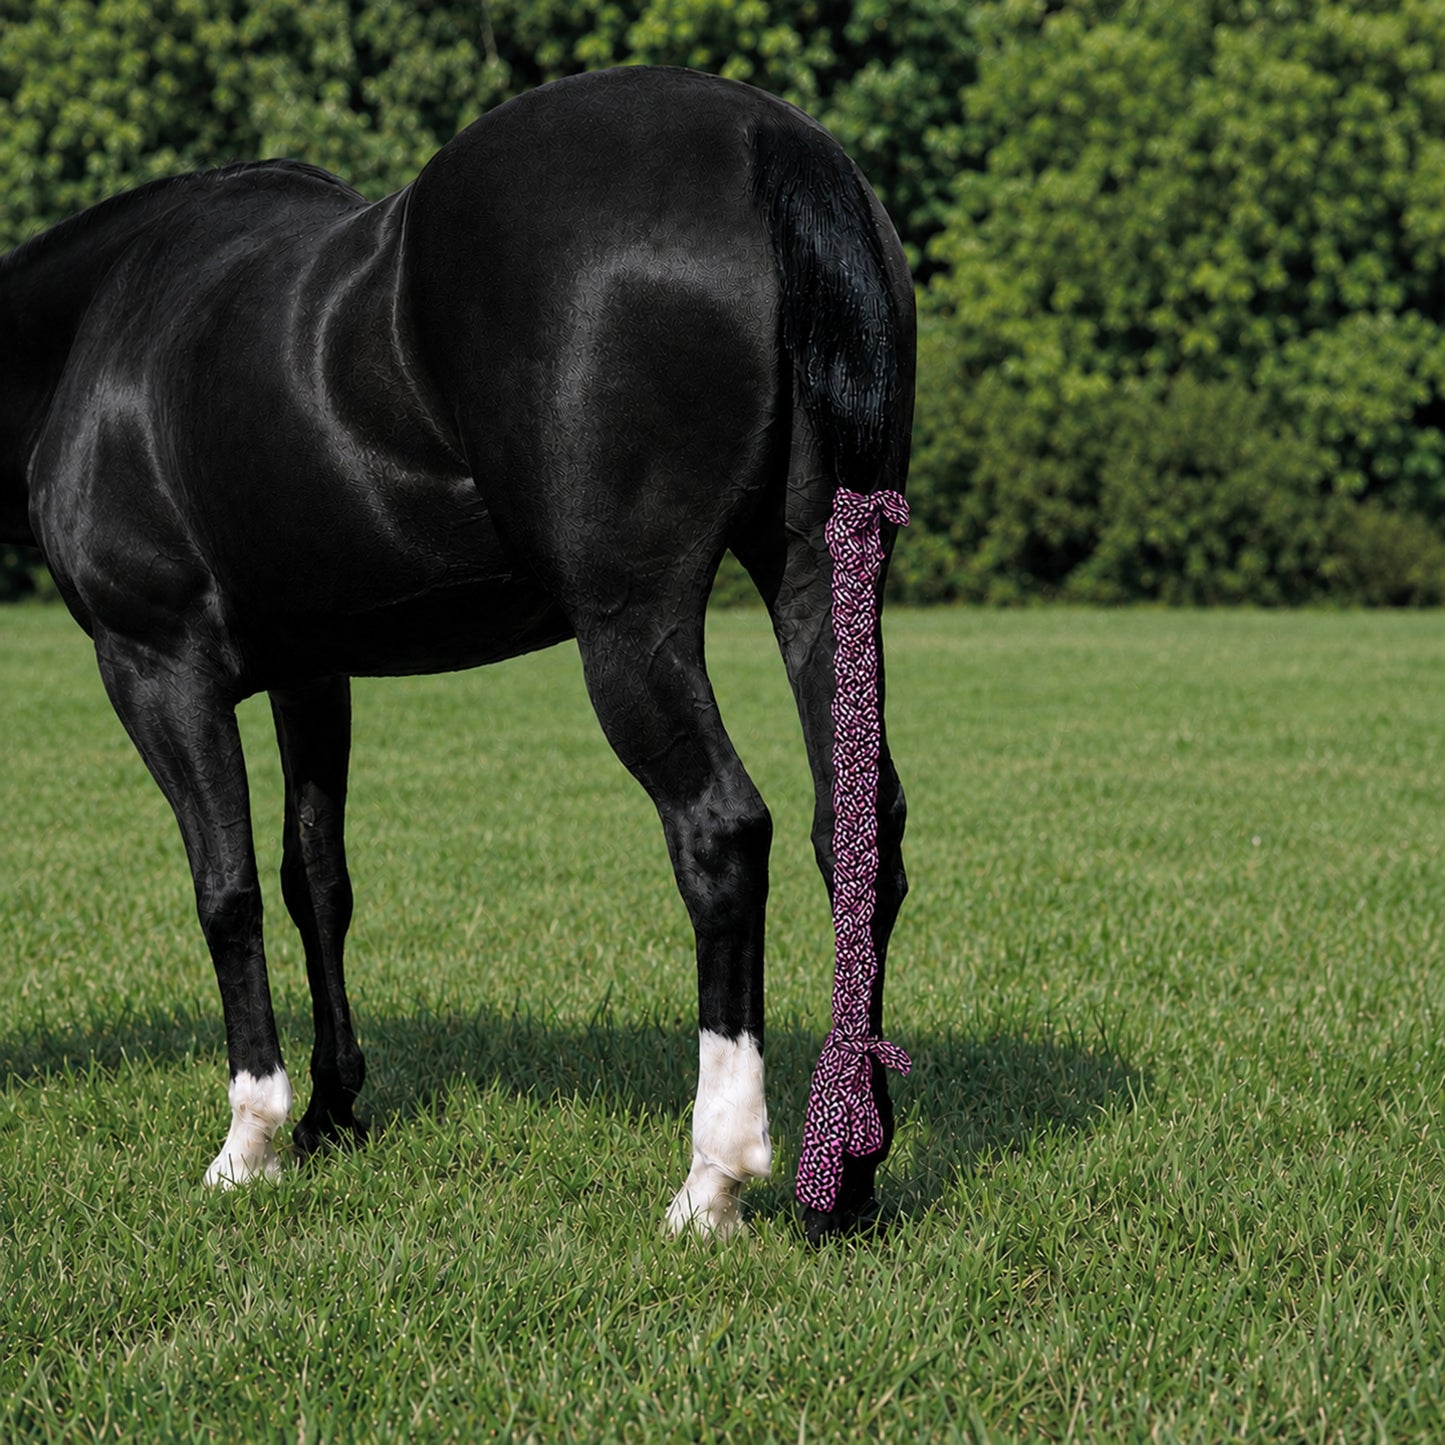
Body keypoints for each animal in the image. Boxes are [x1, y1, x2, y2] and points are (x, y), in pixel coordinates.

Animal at [0, 66, 914, 1241]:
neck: (95, 326)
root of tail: (765, 134)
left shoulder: (156, 668)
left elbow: (226, 888)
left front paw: (251, 1137)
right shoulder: (313, 671)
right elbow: (315, 877)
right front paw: (331, 1110)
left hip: (630, 626)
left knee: (722, 832)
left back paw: (712, 1176)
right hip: (817, 578)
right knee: (855, 830)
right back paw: (850, 1169)